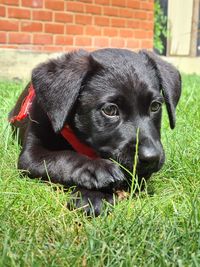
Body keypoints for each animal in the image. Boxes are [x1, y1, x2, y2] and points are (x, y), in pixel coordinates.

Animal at [9, 48, 181, 216]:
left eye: (155, 106)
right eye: (110, 110)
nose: (151, 158)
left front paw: (92, 195)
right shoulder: (30, 156)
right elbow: (62, 157)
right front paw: (95, 169)